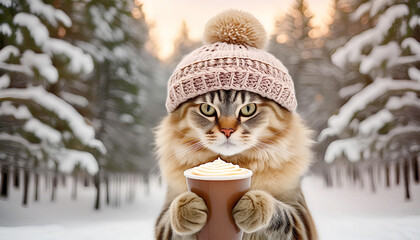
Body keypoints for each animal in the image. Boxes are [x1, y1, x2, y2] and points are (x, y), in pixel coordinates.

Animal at [155, 90, 318, 240]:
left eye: (248, 109)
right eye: (207, 109)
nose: (227, 131)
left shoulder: (301, 217)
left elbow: (282, 216)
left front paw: (254, 205)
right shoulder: (164, 214)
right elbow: (170, 221)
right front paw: (187, 207)